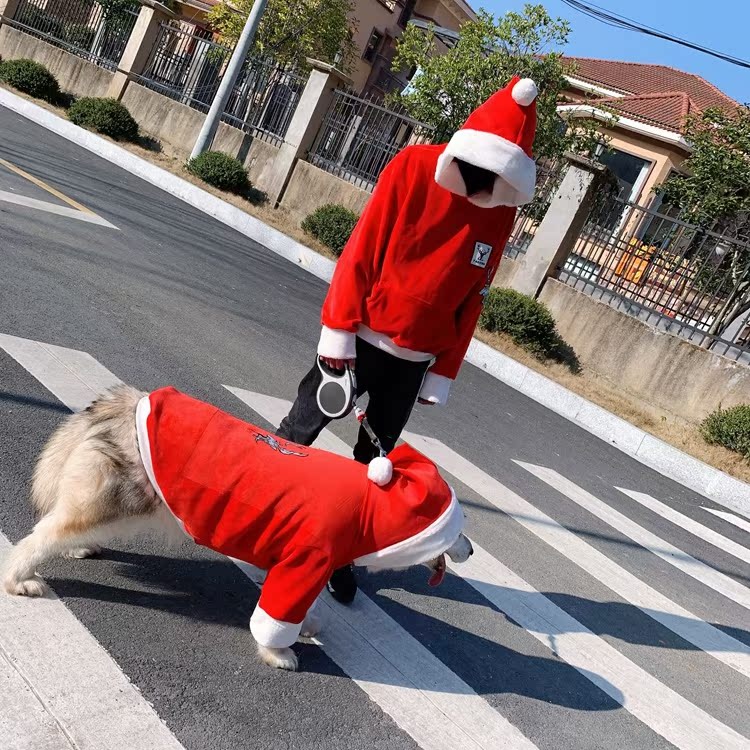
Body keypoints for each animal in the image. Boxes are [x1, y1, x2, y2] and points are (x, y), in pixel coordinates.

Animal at [3, 385, 473, 671]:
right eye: (458, 531)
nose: (470, 551)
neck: (369, 505)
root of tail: (128, 400)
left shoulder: (291, 563)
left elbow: (292, 608)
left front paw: (307, 624)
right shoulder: (305, 562)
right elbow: (276, 618)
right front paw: (279, 652)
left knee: (63, 526)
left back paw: (76, 549)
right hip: (114, 501)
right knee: (42, 536)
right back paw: (19, 578)